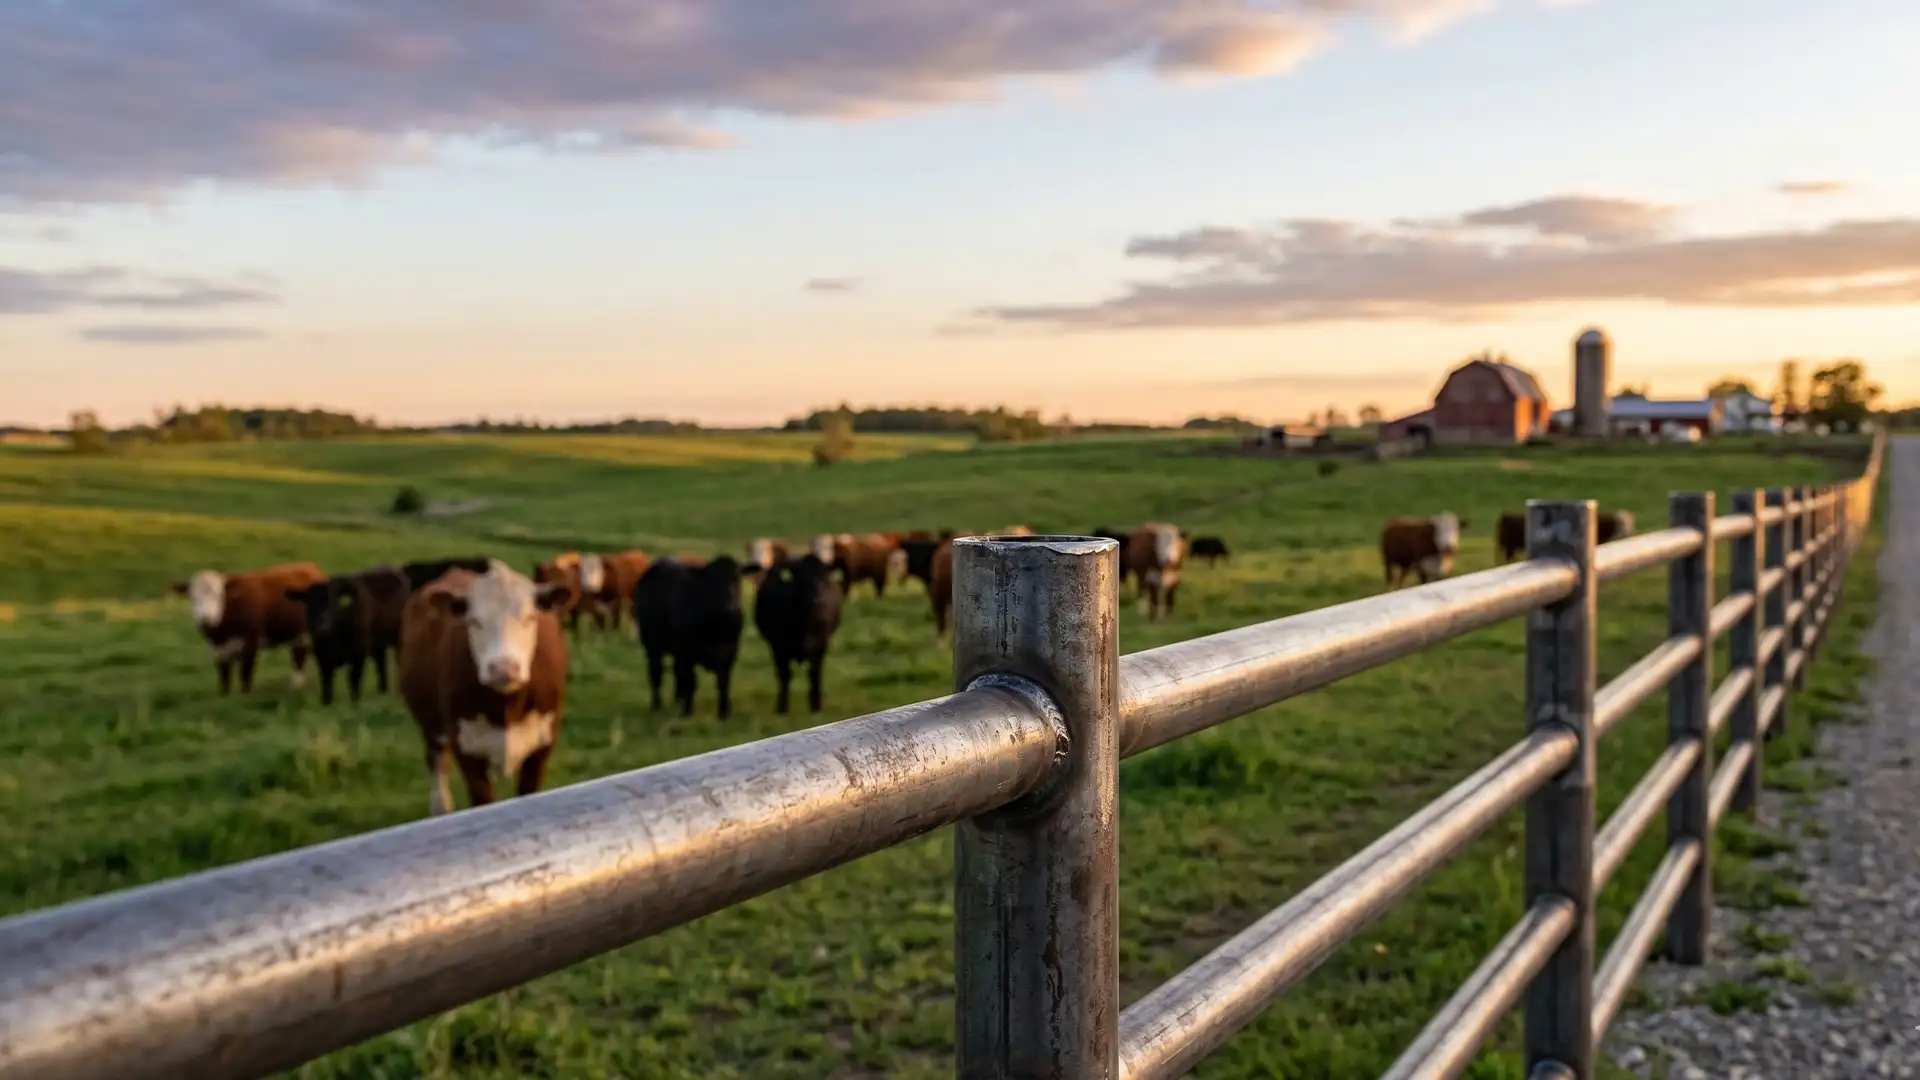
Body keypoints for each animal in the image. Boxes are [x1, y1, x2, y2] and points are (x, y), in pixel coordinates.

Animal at [169, 562, 324, 694]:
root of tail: (309, 567)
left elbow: (246, 675)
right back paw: (294, 687)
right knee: (299, 658)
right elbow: (224, 678)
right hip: (298, 636)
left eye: (220, 596)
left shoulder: (251, 644)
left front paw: (245, 696)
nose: (206, 619)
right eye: (193, 598)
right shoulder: (219, 651)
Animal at [285, 566, 410, 705]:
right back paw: (383, 691)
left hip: (398, 639)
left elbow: (354, 681)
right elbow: (327, 685)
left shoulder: (358, 655)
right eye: (309, 603)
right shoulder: (322, 657)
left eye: (333, 602)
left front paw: (355, 704)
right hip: (378, 644)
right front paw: (327, 704)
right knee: (381, 662)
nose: (321, 626)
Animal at [398, 560, 575, 816]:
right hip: (430, 724)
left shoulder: (542, 746)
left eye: (530, 617)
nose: (503, 668)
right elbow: (482, 798)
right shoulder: (466, 748)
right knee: (437, 760)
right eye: (474, 621)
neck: (506, 707)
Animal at [634, 556, 745, 718]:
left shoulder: (729, 653)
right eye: (711, 582)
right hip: (652, 645)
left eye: (737, 579)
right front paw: (688, 712)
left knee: (676, 674)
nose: (729, 607)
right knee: (656, 674)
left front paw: (723, 713)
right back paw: (656, 706)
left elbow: (723, 683)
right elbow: (691, 682)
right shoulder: (686, 653)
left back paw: (677, 700)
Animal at [752, 554, 845, 714]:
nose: (817, 600)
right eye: (802, 580)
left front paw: (816, 706)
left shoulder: (821, 644)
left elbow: (815, 674)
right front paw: (782, 708)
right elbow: (785, 675)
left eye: (824, 578)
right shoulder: (778, 647)